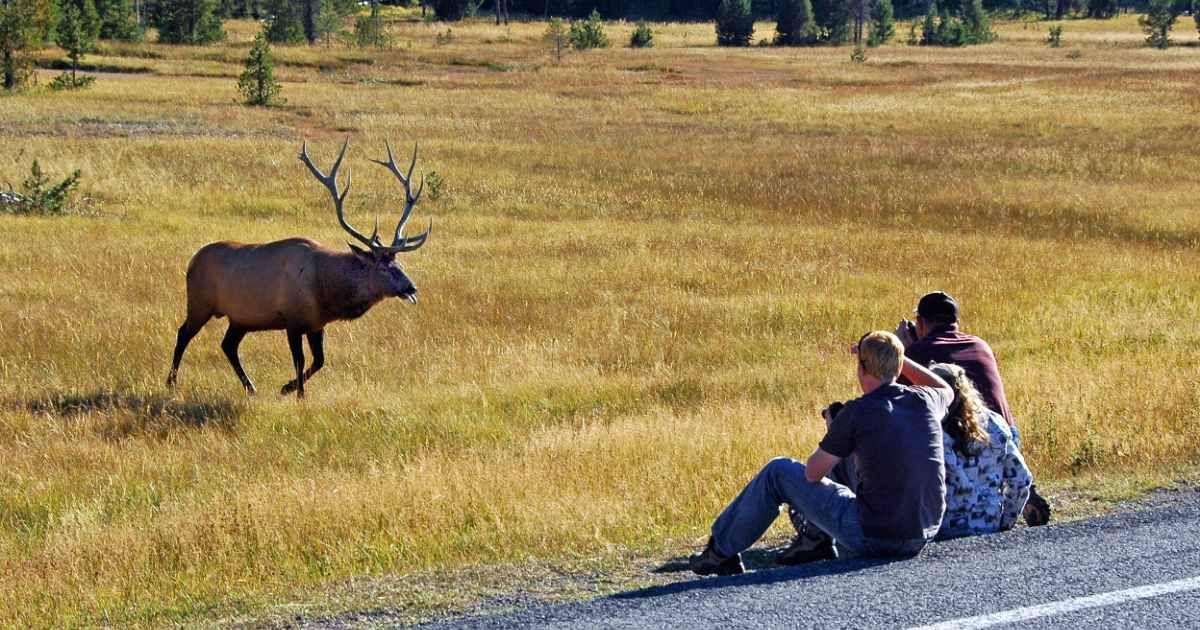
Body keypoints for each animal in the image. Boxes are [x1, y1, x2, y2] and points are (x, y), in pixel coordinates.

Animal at [166, 139, 431, 398]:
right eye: (383, 268)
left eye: (399, 264)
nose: (411, 287)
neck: (325, 292)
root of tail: (192, 261)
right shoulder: (292, 320)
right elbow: (300, 360)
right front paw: (298, 394)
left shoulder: (316, 324)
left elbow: (320, 360)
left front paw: (287, 387)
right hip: (200, 303)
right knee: (183, 334)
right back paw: (171, 382)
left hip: (240, 318)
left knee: (228, 345)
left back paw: (250, 387)